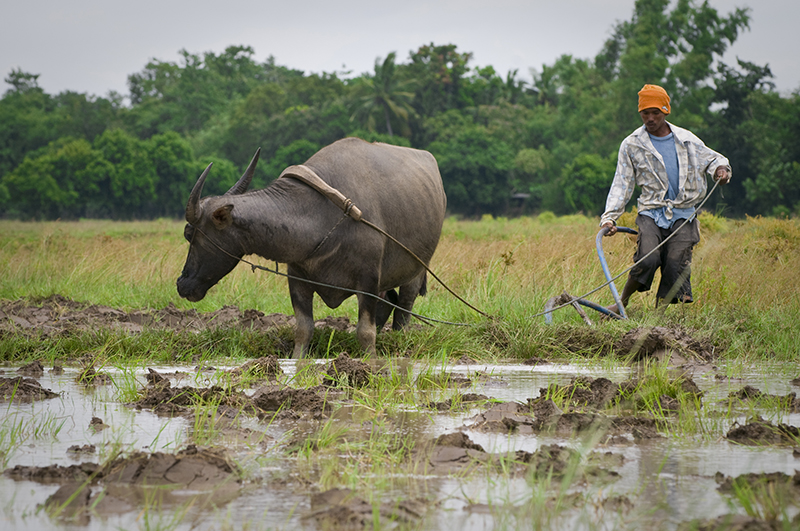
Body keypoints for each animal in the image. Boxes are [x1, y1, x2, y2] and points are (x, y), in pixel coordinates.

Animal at [175, 139, 446, 360]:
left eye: (189, 234)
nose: (182, 284)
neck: (317, 215)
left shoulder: (368, 280)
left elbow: (365, 332)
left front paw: (370, 361)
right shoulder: (297, 279)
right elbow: (304, 329)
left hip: (415, 270)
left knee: (405, 307)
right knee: (389, 302)